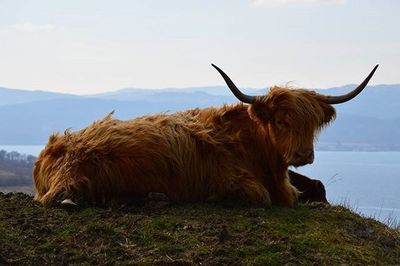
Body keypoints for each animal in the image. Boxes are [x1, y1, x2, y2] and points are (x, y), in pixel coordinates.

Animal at [32, 63, 378, 207]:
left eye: (314, 123)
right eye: (281, 120)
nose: (303, 155)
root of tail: (52, 145)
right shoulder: (232, 178)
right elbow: (260, 196)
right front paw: (214, 197)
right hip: (73, 172)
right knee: (57, 198)